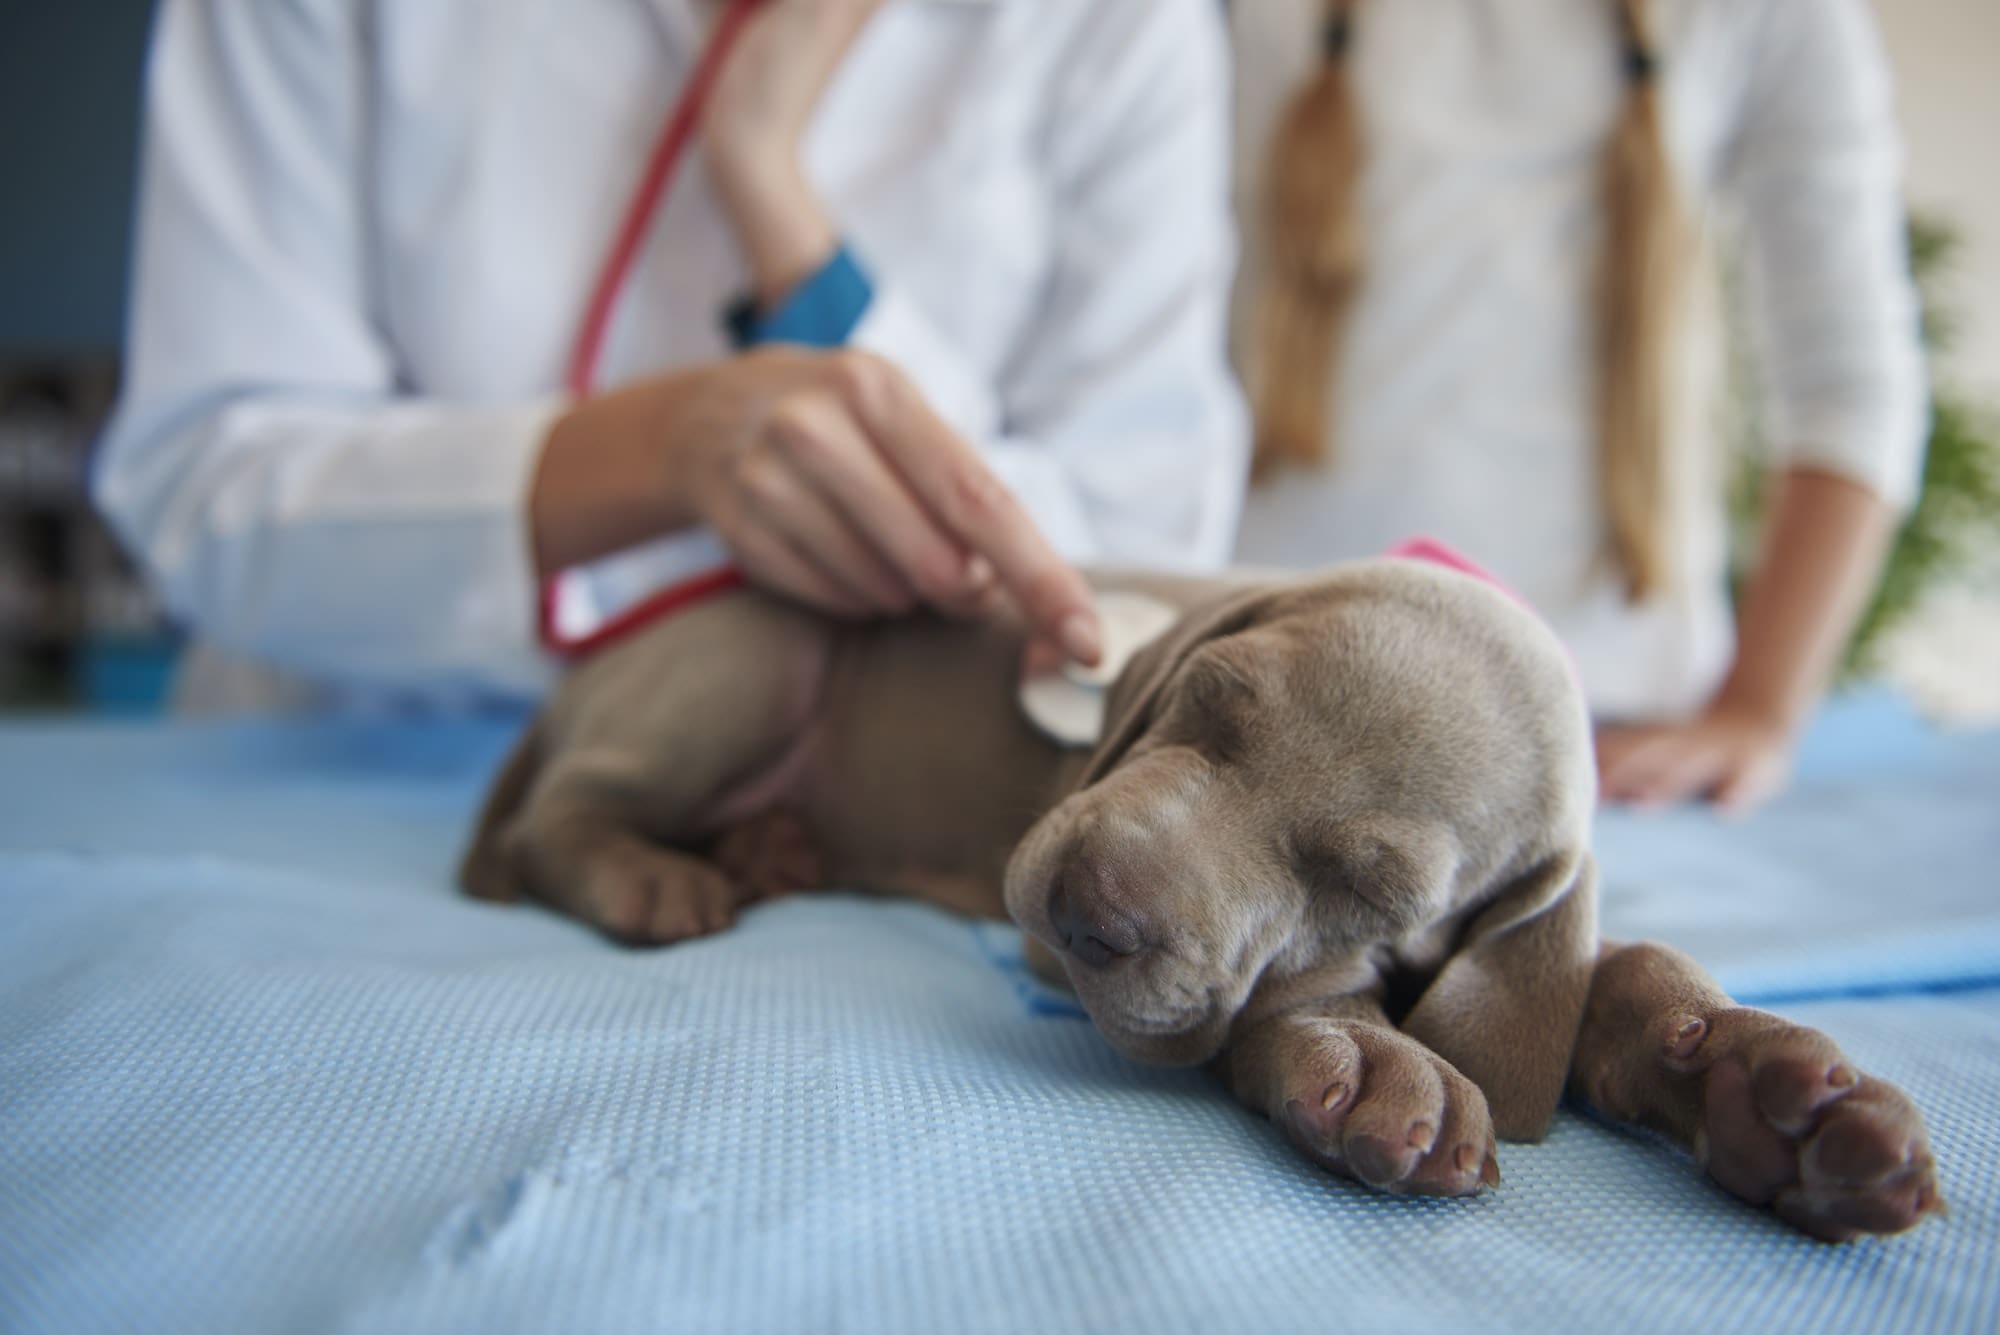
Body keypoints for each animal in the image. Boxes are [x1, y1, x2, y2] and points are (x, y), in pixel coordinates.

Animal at [464, 559, 1936, 1239]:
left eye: (1371, 886)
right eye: (1208, 704)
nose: (1088, 907)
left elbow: (1599, 969)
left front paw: (1772, 1093)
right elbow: (1285, 1005)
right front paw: (1365, 1055)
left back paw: (769, 850)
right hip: (754, 655)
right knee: (560, 814)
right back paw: (657, 874)